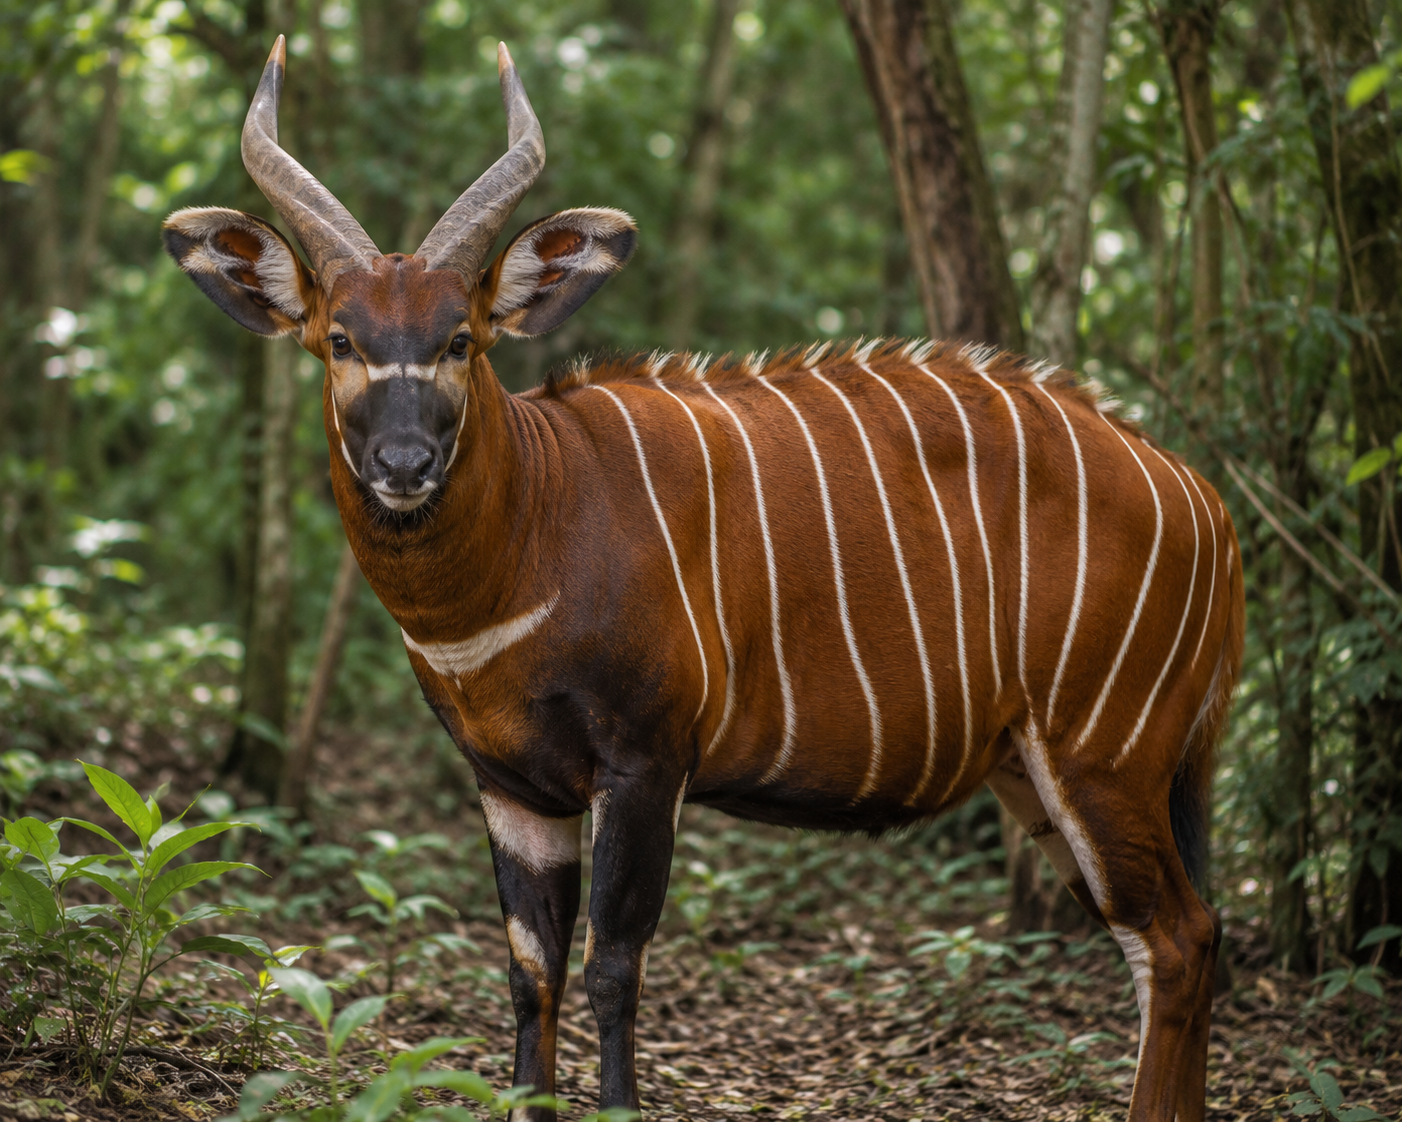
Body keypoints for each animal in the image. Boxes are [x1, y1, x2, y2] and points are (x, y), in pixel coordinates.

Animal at [164, 37, 1244, 1122]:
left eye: (460, 340)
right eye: (341, 340)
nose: (401, 462)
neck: (528, 539)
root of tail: (1207, 500)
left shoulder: (647, 759)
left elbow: (613, 964)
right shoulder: (512, 785)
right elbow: (530, 971)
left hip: (1104, 753)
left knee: (1179, 940)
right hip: (1037, 770)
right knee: (1176, 941)